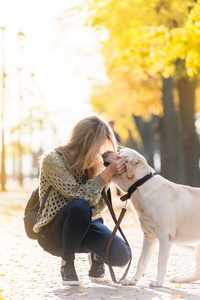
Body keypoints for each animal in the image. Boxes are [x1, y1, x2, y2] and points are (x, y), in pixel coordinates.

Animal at [103, 149, 200, 288]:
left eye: (119, 152)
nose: (104, 152)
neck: (140, 186)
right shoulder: (149, 236)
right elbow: (141, 261)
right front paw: (132, 280)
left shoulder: (165, 236)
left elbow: (161, 262)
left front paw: (158, 281)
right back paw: (180, 279)